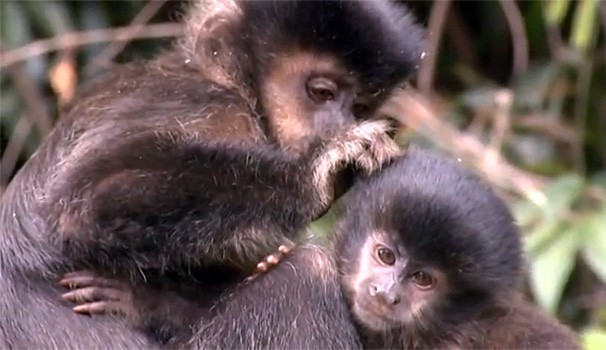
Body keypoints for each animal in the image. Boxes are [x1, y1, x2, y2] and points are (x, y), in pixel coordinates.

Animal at [1, 0, 428, 348]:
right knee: (308, 274)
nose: (339, 123)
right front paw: (318, 173)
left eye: (358, 107)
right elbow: (87, 203)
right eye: (322, 93)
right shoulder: (211, 110)